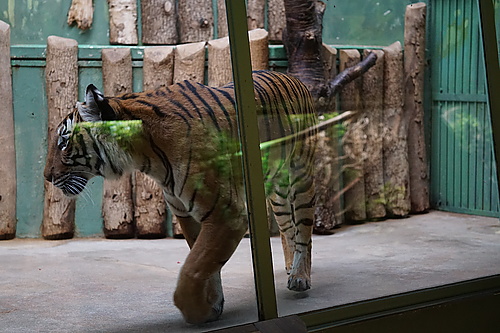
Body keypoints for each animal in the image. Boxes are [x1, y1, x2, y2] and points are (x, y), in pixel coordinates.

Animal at [43, 69, 316, 322]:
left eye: (64, 143)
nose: (47, 176)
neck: (146, 156)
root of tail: (290, 75)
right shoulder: (187, 214)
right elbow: (204, 262)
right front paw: (212, 305)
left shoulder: (227, 213)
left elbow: (193, 267)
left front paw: (195, 310)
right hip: (277, 194)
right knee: (287, 229)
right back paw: (290, 267)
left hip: (301, 178)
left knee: (304, 230)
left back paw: (300, 277)